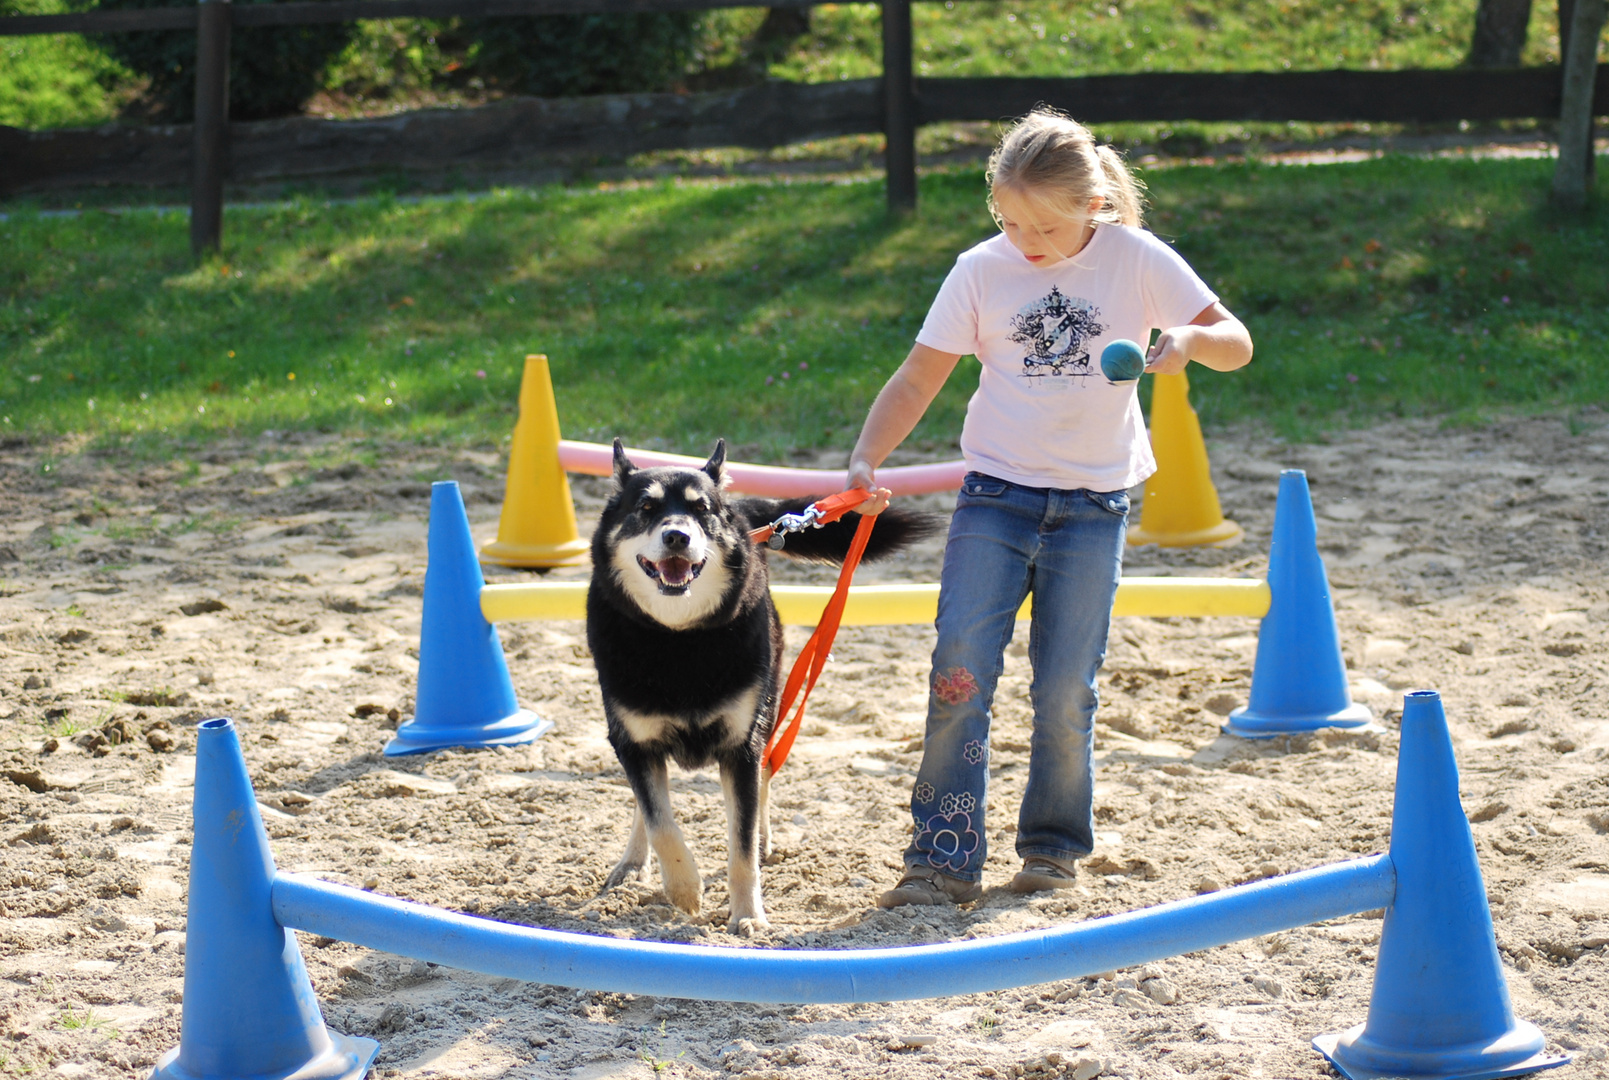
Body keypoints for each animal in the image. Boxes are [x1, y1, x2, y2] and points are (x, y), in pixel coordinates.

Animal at [588, 437, 933, 927]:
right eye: (646, 507)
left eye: (702, 509)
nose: (677, 536)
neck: (678, 637)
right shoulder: (632, 738)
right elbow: (660, 819)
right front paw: (685, 888)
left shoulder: (741, 743)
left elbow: (742, 843)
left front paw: (748, 916)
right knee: (649, 803)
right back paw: (633, 863)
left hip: (768, 704)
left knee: (765, 775)